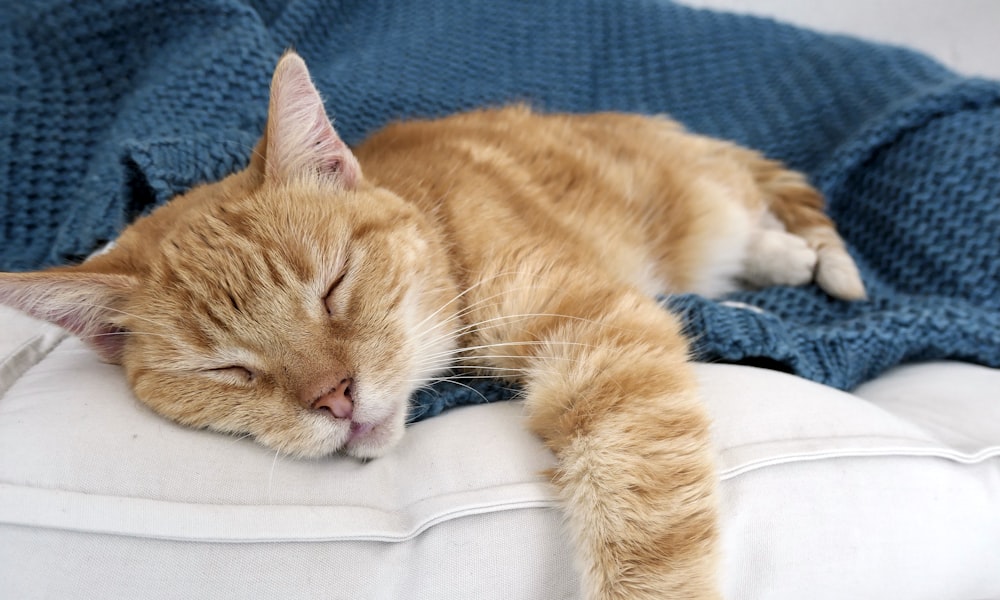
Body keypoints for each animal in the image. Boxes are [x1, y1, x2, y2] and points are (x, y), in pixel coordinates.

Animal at [0, 52, 860, 600]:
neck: (443, 229)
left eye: (333, 289)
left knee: (753, 208)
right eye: (228, 370)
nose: (335, 398)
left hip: (705, 201)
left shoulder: (602, 337)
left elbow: (646, 525)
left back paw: (789, 260)